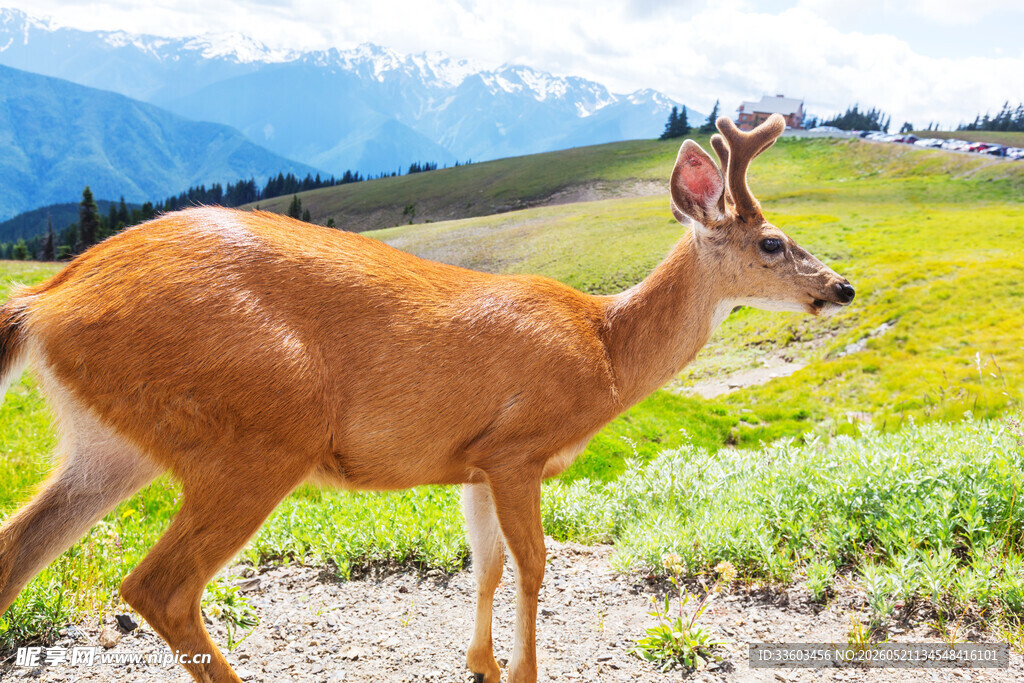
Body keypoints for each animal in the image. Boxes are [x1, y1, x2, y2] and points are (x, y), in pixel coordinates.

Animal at [0, 114, 852, 682]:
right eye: (773, 242)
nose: (842, 287)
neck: (606, 350)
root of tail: (45, 301)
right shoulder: (519, 446)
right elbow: (535, 565)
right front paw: (523, 671)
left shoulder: (472, 462)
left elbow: (486, 565)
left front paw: (479, 663)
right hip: (257, 432)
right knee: (159, 585)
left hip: (113, 444)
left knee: (19, 550)